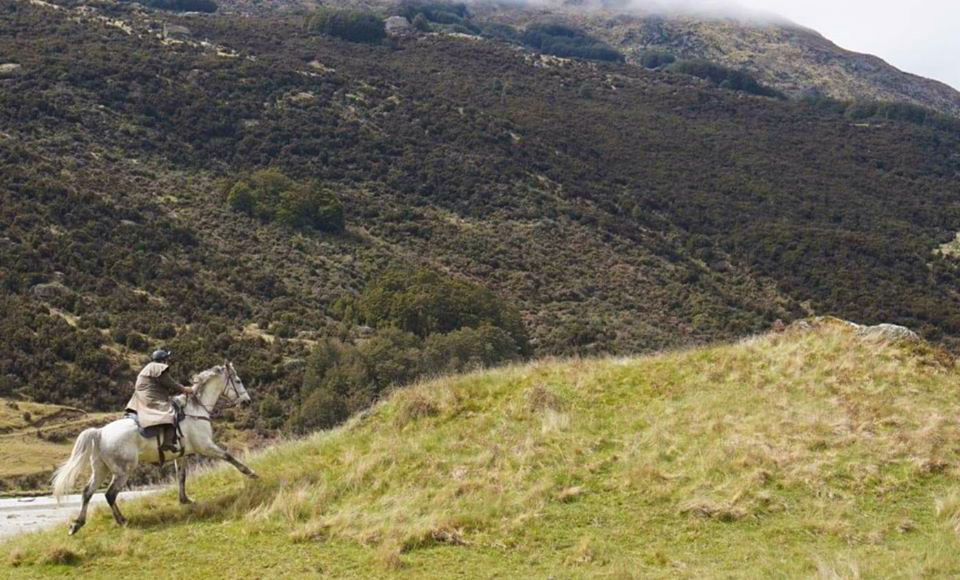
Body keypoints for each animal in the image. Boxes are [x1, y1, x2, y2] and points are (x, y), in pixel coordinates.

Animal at [52, 362, 259, 535]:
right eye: (238, 381)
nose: (247, 401)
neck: (195, 410)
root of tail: (100, 432)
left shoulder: (183, 455)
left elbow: (181, 477)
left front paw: (185, 500)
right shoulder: (206, 446)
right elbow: (229, 457)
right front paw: (252, 473)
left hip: (101, 469)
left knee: (87, 492)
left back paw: (77, 524)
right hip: (122, 471)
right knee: (110, 494)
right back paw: (121, 520)